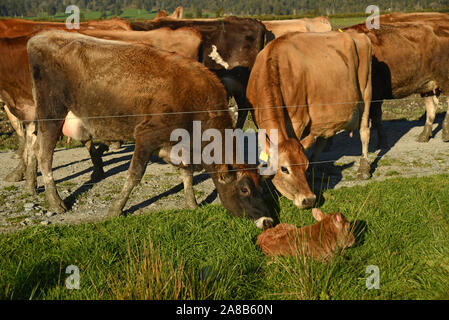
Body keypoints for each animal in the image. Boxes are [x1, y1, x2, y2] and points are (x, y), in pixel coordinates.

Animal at [245, 31, 372, 209]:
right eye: (284, 169)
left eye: (303, 166)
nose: (309, 199)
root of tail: (356, 33)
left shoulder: (298, 121)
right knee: (324, 137)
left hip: (366, 90)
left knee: (365, 129)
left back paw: (364, 168)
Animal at [344, 13, 449, 146]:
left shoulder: (374, 93)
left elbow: (377, 117)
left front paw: (382, 141)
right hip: (427, 85)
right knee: (431, 106)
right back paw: (424, 135)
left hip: (445, 80)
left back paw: (445, 132)